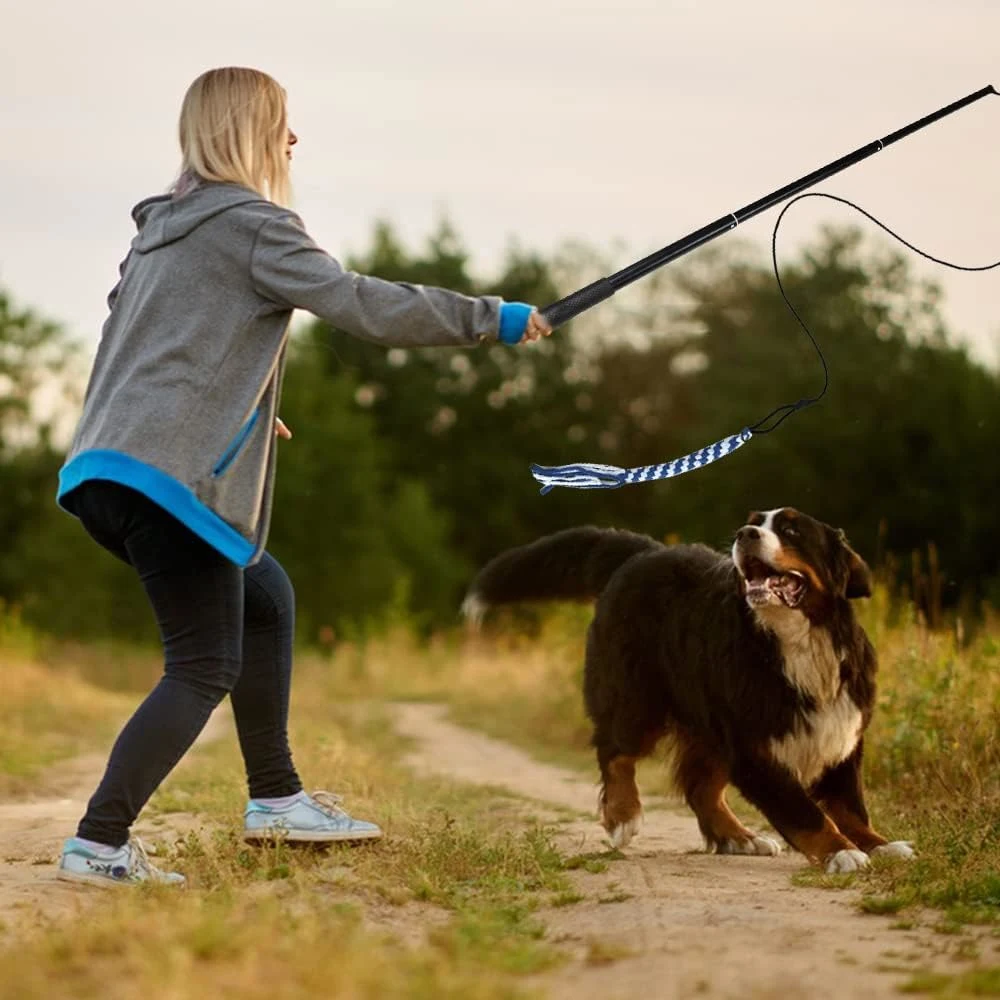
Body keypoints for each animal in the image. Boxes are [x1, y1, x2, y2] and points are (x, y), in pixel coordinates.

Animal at [462, 512, 916, 872]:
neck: (796, 643)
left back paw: (740, 838)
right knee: (615, 752)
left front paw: (879, 845)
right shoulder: (755, 750)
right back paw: (623, 816)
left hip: (709, 721)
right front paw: (842, 852)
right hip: (636, 700)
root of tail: (642, 552)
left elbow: (850, 807)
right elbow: (806, 812)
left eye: (790, 529)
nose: (745, 533)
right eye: (755, 520)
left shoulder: (840, 735)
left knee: (700, 788)